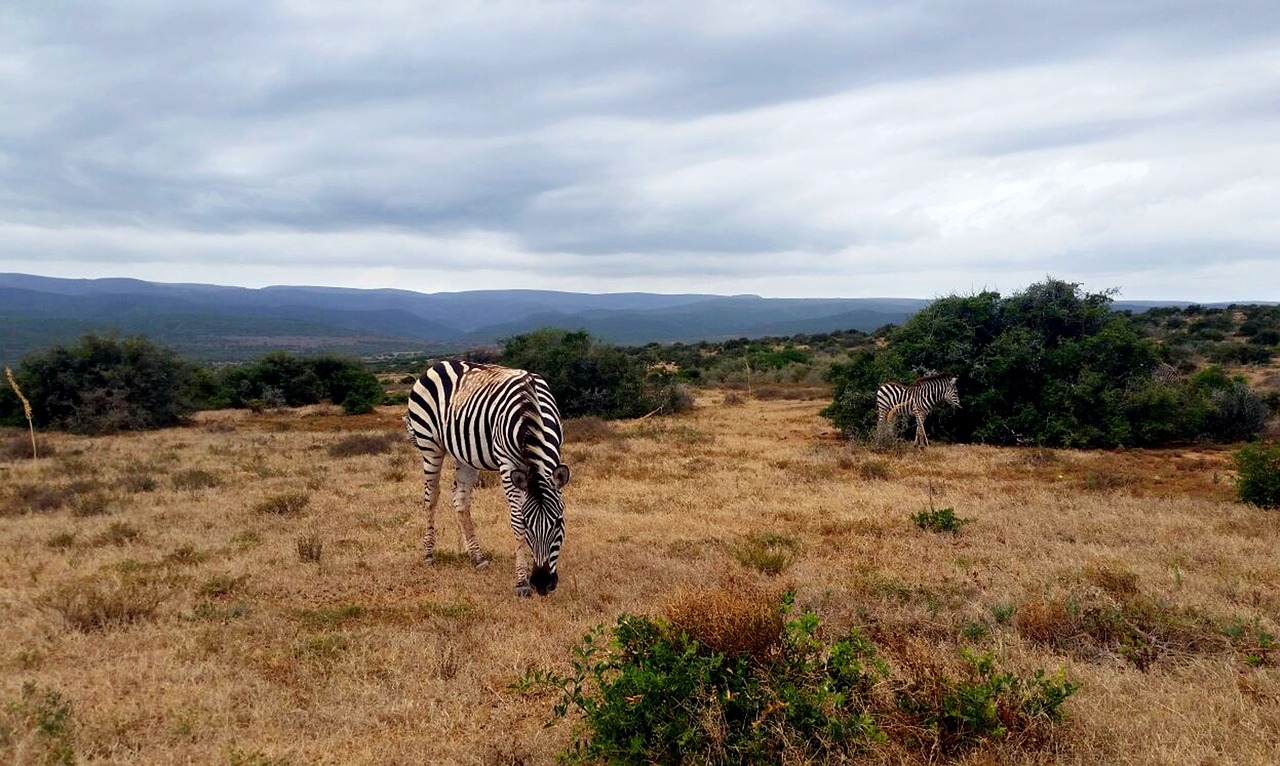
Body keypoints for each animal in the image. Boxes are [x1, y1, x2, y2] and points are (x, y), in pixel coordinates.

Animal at [407, 361, 573, 599]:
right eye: (528, 525)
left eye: (559, 522)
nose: (541, 584)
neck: (531, 412)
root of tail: (439, 364)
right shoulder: (507, 463)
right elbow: (515, 520)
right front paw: (521, 581)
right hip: (430, 445)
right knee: (430, 498)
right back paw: (429, 554)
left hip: (465, 454)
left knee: (460, 501)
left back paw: (477, 558)